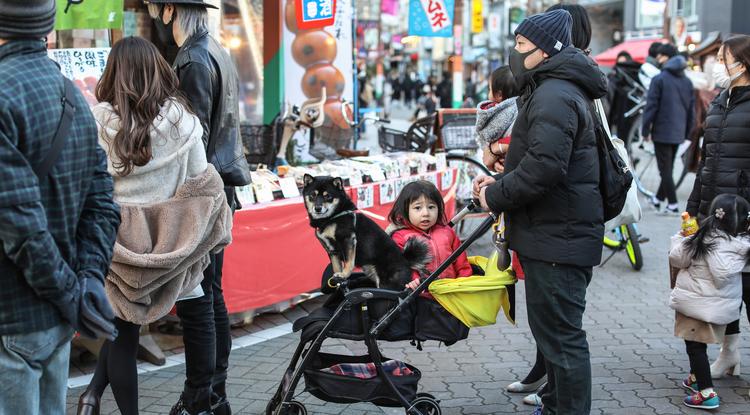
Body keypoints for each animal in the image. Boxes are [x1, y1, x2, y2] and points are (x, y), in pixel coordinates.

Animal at [304, 174, 432, 290]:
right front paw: (337, 281)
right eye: (312, 195)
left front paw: (344, 274)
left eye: (328, 196)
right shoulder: (332, 250)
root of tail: (406, 260)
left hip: (387, 284)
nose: (318, 208)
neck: (331, 218)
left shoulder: (348, 239)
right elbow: (336, 267)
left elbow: (349, 262)